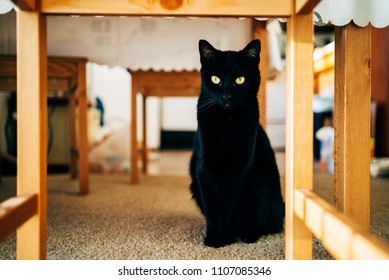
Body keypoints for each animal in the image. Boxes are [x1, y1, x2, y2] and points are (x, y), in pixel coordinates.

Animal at [189, 38, 284, 247]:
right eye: (215, 79)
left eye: (240, 80)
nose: (226, 96)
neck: (228, 121)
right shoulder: (205, 168)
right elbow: (213, 206)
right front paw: (215, 238)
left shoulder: (239, 169)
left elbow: (228, 204)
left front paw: (225, 236)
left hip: (260, 183)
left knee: (264, 224)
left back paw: (247, 234)